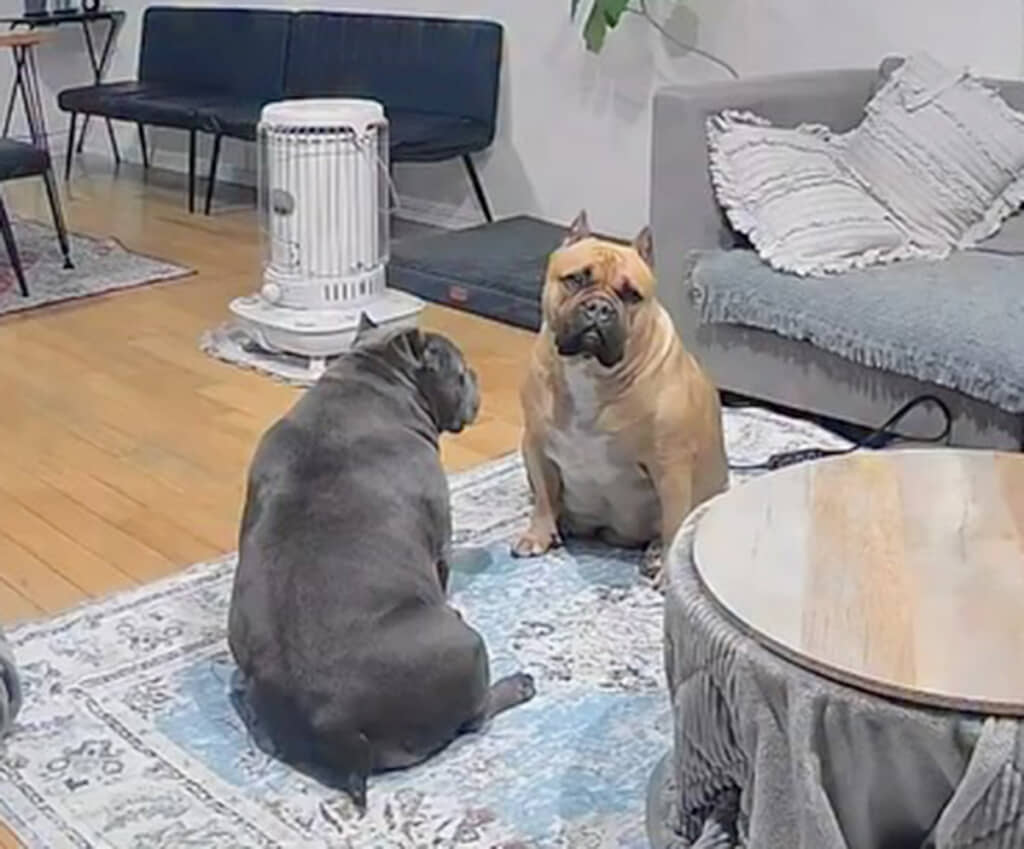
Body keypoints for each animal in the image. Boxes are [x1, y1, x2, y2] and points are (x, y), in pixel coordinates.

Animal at [228, 315, 536, 811]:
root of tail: (332, 724)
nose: (476, 377)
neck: (371, 381)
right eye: (461, 371)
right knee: (475, 717)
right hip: (468, 647)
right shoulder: (440, 543)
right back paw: (518, 684)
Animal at [513, 211, 728, 580]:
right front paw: (538, 534)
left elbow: (673, 521)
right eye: (575, 279)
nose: (599, 307)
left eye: (632, 295)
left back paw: (656, 554)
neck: (589, 372)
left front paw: (667, 570)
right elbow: (543, 495)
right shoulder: (536, 446)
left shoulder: (670, 466)